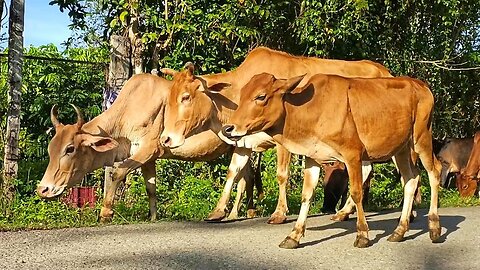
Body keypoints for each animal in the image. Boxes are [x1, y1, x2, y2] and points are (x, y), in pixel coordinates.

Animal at [36, 74, 258, 221]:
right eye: (50, 149)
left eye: (70, 149)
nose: (43, 189)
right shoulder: (147, 158)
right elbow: (151, 187)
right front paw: (152, 217)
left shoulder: (149, 149)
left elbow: (117, 173)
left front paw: (105, 213)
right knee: (246, 175)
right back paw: (245, 211)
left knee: (245, 176)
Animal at [161, 47, 394, 224]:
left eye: (185, 97)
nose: (166, 139)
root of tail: (385, 72)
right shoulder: (243, 142)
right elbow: (232, 172)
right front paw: (218, 211)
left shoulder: (283, 142)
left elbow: (282, 174)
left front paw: (280, 213)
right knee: (365, 170)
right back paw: (344, 211)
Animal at [223, 73, 440, 248]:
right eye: (241, 95)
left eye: (261, 96)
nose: (228, 128)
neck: (311, 110)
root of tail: (420, 84)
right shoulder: (312, 158)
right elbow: (307, 195)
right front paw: (294, 236)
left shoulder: (353, 154)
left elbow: (356, 192)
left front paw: (362, 234)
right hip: (401, 149)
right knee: (411, 179)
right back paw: (399, 231)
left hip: (421, 138)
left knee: (434, 172)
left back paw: (434, 227)